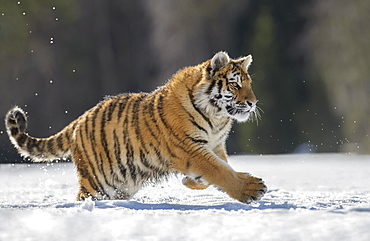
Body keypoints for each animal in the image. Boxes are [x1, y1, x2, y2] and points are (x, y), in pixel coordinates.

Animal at [5, 51, 266, 203]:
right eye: (235, 84)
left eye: (249, 84)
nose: (253, 102)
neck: (217, 117)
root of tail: (78, 121)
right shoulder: (190, 149)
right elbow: (220, 170)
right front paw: (251, 189)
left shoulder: (215, 145)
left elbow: (222, 167)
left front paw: (192, 182)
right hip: (96, 183)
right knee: (83, 197)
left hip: (120, 182)